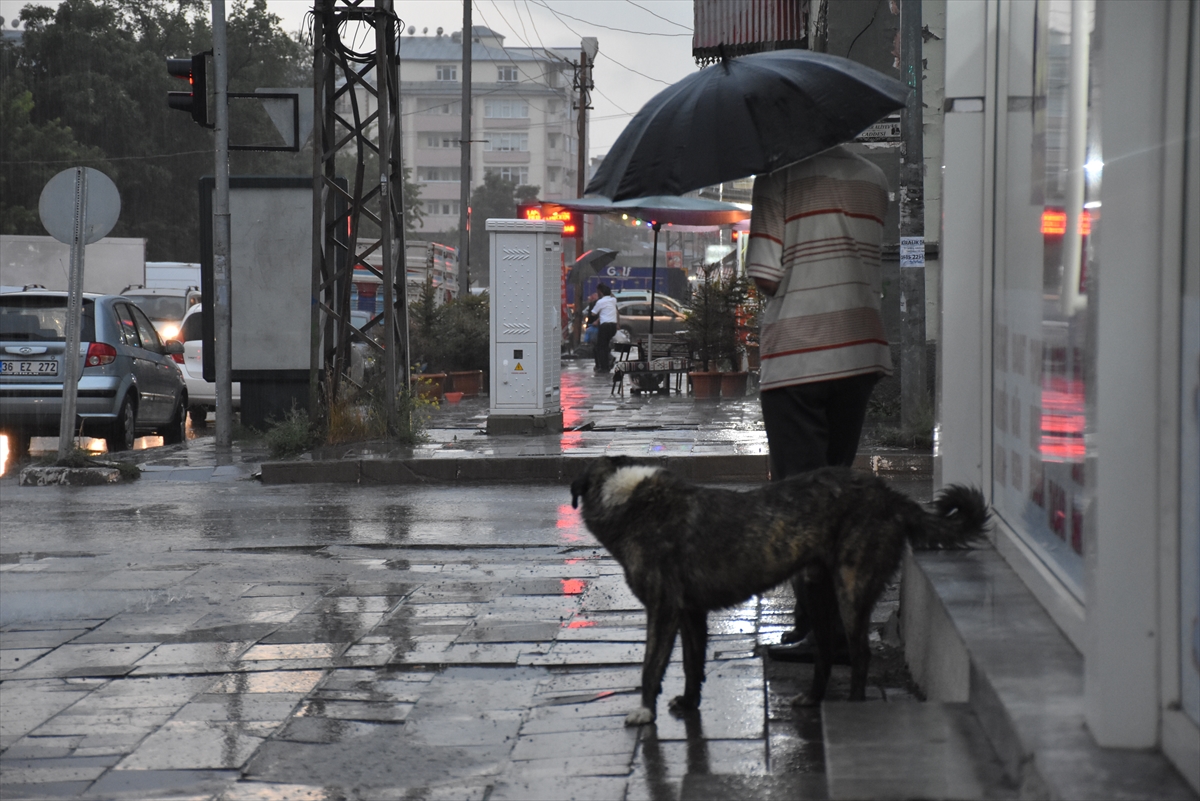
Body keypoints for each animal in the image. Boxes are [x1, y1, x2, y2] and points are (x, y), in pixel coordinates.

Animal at [570, 456, 989, 726]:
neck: (630, 498)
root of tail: (889, 494)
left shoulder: (663, 610)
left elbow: (650, 666)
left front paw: (644, 711)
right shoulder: (690, 613)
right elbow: (691, 663)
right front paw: (690, 702)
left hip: (850, 590)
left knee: (860, 654)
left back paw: (853, 707)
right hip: (815, 589)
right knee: (825, 651)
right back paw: (814, 698)